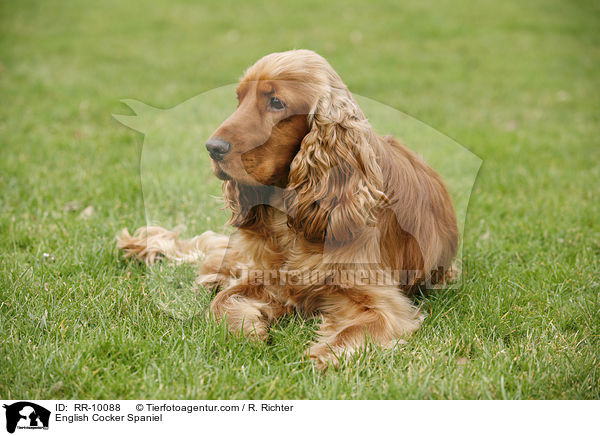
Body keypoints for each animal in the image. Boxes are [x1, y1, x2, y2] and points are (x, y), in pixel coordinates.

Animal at [118, 48, 460, 368]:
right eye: (239, 99)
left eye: (276, 103)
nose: (212, 148)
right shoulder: (268, 277)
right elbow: (222, 302)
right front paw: (246, 330)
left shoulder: (384, 302)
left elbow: (356, 330)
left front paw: (318, 358)